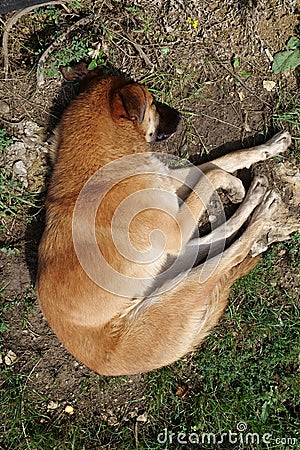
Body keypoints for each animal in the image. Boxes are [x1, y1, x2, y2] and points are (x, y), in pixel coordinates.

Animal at [36, 66, 292, 376]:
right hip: (178, 288)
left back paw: (252, 201)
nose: (180, 115)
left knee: (214, 241)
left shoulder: (169, 186)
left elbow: (223, 159)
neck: (102, 166)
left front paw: (265, 150)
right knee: (230, 254)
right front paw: (232, 183)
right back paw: (261, 211)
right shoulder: (176, 224)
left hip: (171, 262)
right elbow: (211, 174)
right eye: (152, 102)